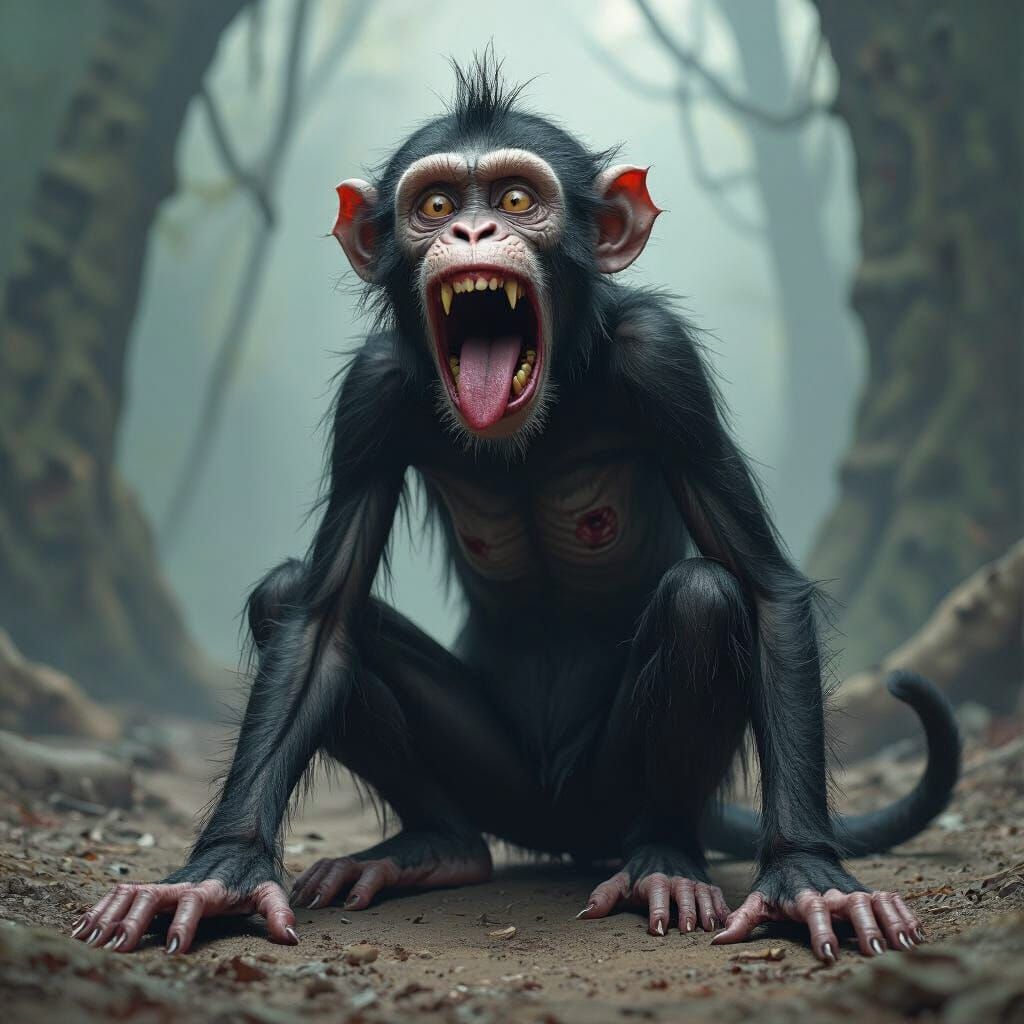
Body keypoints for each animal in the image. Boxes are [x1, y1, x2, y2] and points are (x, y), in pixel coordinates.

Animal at [73, 55, 959, 963]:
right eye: (434, 207)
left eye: (515, 199)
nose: (470, 233)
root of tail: (556, 825)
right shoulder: (370, 392)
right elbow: (318, 618)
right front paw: (222, 867)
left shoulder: (664, 362)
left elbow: (763, 588)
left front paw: (806, 873)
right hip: (499, 784)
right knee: (287, 600)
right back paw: (435, 845)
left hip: (602, 794)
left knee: (702, 600)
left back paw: (664, 857)